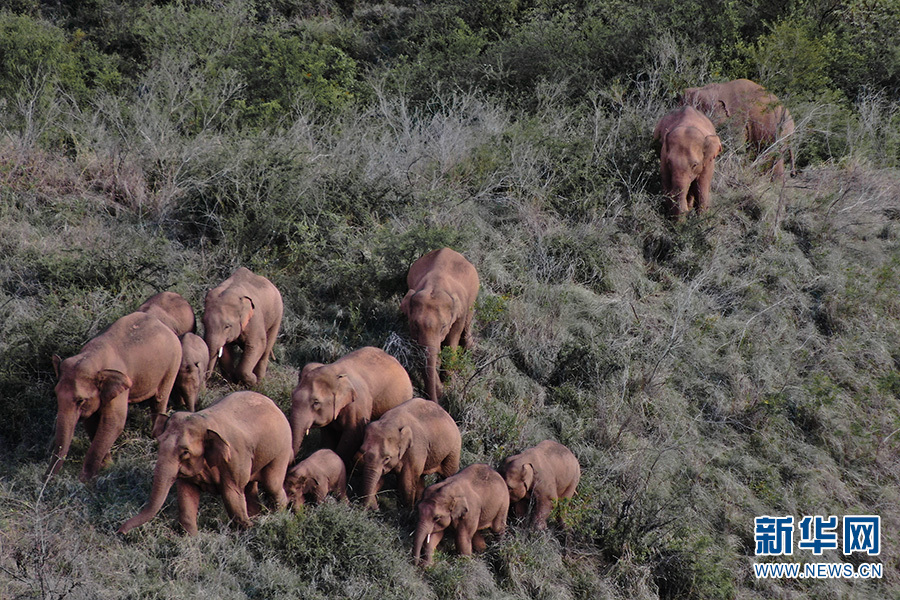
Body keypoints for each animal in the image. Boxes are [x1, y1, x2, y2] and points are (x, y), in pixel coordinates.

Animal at [46, 312, 184, 480]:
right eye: (56, 394)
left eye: (80, 400)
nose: (47, 480)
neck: (91, 356)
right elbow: (92, 422)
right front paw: (107, 466)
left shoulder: (121, 385)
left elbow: (113, 422)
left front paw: (86, 480)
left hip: (173, 362)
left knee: (159, 399)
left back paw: (156, 438)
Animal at [402, 248, 482, 404]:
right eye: (415, 325)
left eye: (444, 327)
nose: (437, 400)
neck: (435, 285)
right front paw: (441, 387)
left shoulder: (459, 311)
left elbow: (452, 339)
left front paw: (447, 381)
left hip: (473, 294)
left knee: (468, 320)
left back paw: (469, 347)